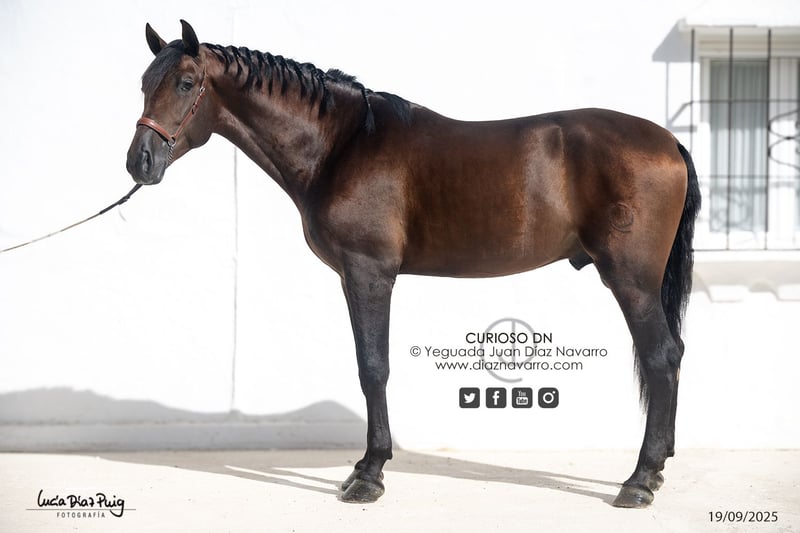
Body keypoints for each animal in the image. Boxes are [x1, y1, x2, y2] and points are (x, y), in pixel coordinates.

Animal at [126, 20, 701, 508]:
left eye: (186, 83)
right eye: (144, 83)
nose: (140, 162)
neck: (341, 145)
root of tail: (669, 141)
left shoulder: (369, 273)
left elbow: (373, 367)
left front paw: (369, 474)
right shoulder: (354, 276)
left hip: (631, 279)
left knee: (661, 357)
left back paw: (640, 480)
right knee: (670, 357)